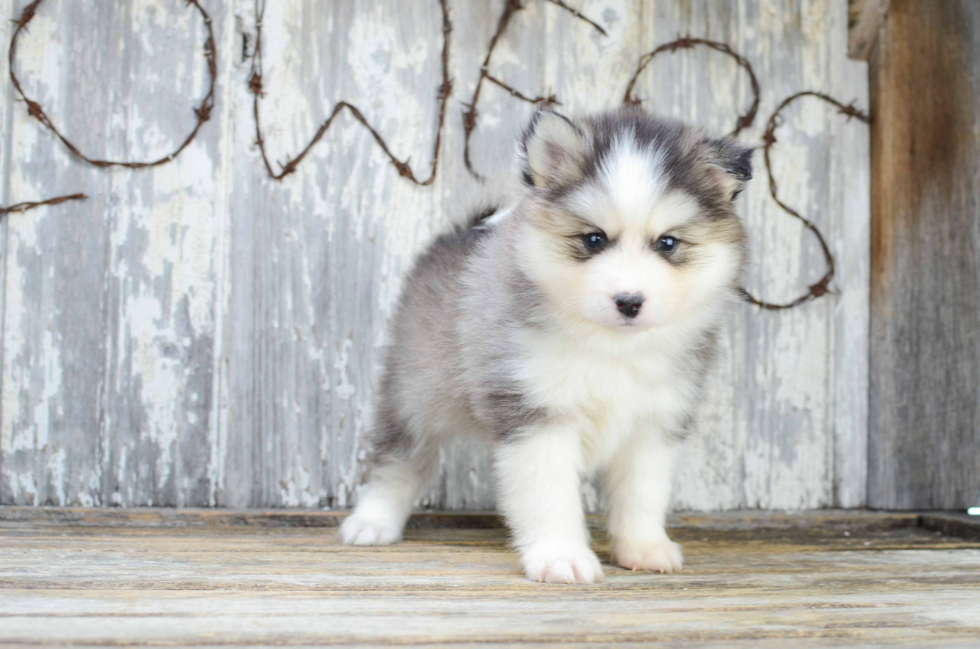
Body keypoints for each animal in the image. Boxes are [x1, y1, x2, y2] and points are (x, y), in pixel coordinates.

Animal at [340, 105, 756, 584]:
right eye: (594, 239)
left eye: (667, 243)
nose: (629, 301)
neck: (612, 349)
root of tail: (460, 232)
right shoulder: (537, 415)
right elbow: (550, 496)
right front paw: (562, 557)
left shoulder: (654, 423)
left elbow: (642, 494)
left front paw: (644, 547)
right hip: (415, 394)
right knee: (397, 462)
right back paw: (372, 523)